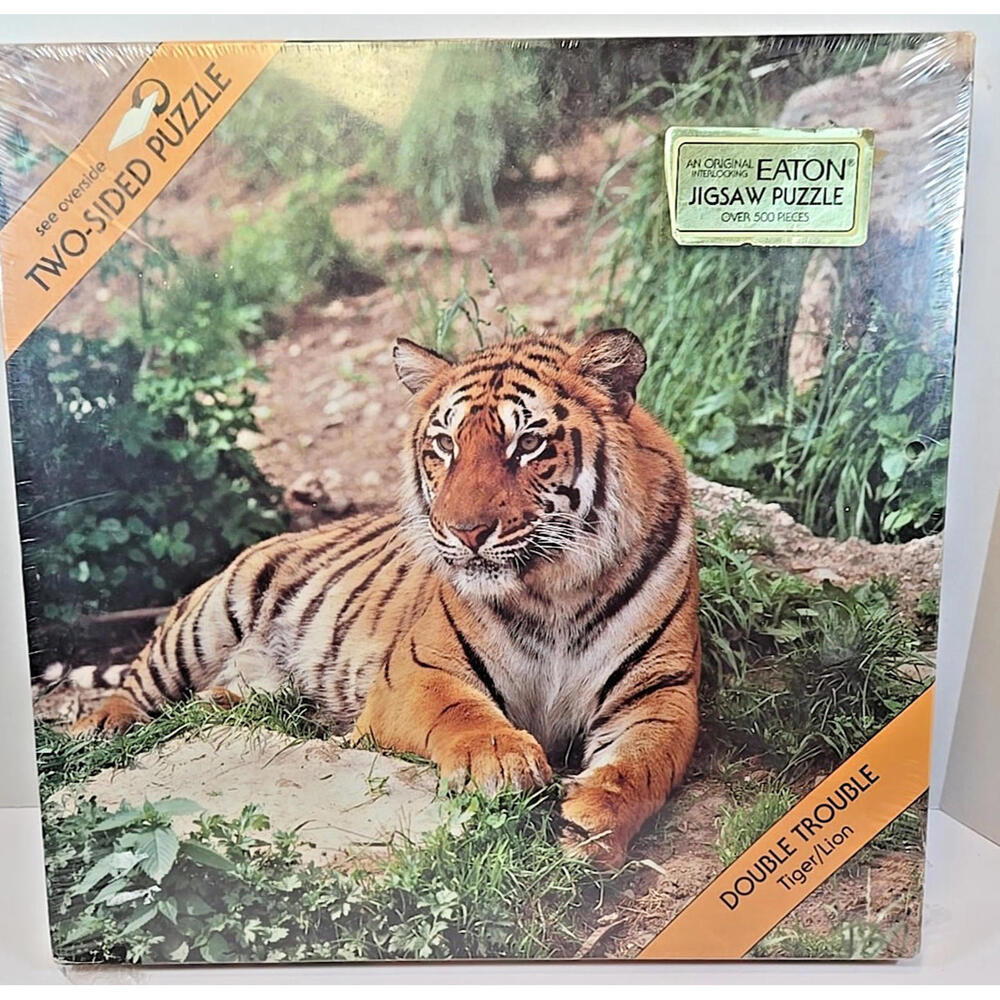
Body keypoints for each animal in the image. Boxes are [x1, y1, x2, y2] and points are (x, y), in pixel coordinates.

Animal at [70, 329, 701, 867]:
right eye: (444, 444)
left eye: (528, 443)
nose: (466, 531)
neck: (555, 592)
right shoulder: (415, 674)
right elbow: (462, 711)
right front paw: (500, 758)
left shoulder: (660, 694)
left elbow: (640, 765)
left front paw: (590, 821)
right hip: (209, 615)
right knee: (137, 682)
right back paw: (100, 726)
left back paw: (224, 704)